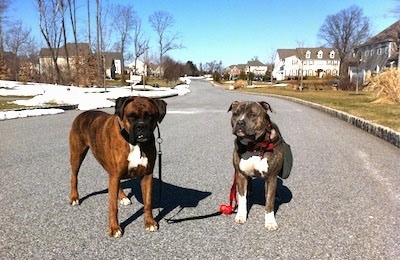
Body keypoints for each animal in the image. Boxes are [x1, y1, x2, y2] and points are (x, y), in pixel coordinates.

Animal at [69, 96, 166, 238]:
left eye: (150, 116)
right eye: (131, 116)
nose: (141, 126)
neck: (135, 144)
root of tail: (83, 113)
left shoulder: (147, 175)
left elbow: (148, 202)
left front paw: (149, 222)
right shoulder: (114, 175)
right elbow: (113, 206)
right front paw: (114, 228)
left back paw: (123, 197)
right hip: (77, 155)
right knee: (74, 176)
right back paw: (74, 198)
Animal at [228, 100, 284, 231]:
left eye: (253, 115)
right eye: (235, 114)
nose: (240, 122)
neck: (253, 146)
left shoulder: (271, 178)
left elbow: (269, 202)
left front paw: (270, 222)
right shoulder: (240, 174)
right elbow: (242, 198)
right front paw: (241, 215)